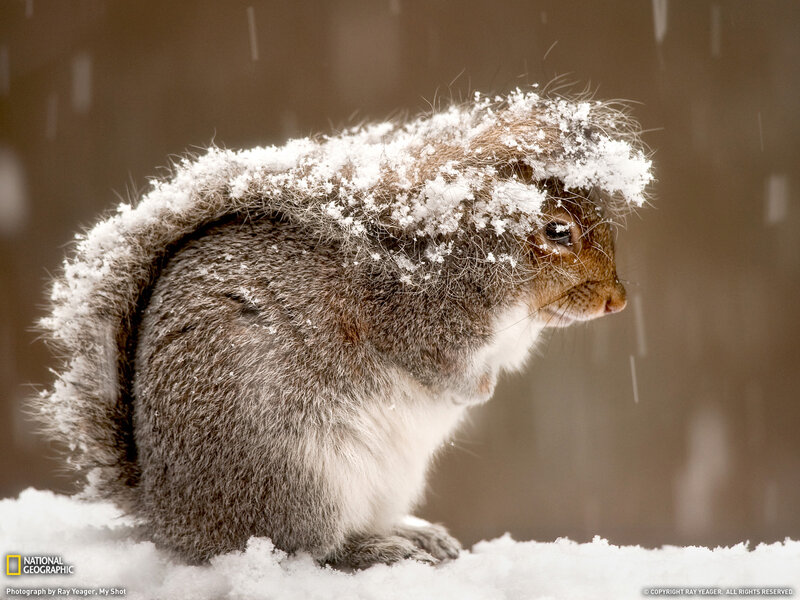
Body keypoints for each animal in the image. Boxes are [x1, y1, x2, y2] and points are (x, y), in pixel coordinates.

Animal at [34, 88, 652, 568]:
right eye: (557, 231)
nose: (618, 301)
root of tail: (171, 519)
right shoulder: (414, 318)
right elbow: (438, 366)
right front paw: (474, 391)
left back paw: (411, 533)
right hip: (298, 476)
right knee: (309, 548)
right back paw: (374, 550)